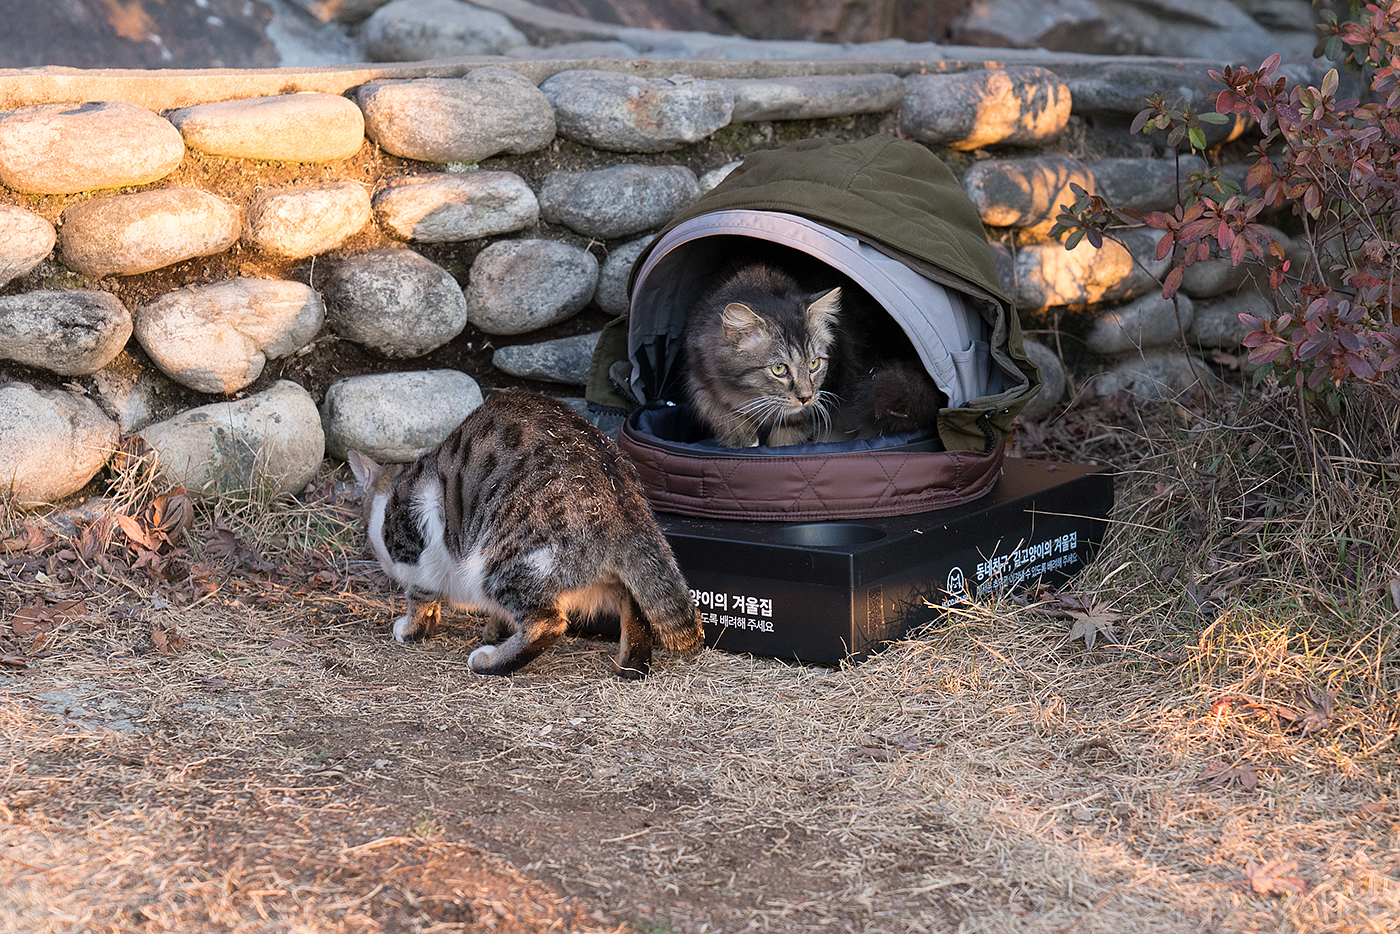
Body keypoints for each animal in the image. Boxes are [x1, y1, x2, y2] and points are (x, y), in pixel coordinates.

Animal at [350, 392, 700, 674]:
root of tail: (626, 502)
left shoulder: (421, 556)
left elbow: (420, 599)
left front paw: (410, 629)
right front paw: (497, 628)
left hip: (501, 559)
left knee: (548, 623)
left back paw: (490, 661)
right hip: (594, 573)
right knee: (636, 603)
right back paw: (632, 664)